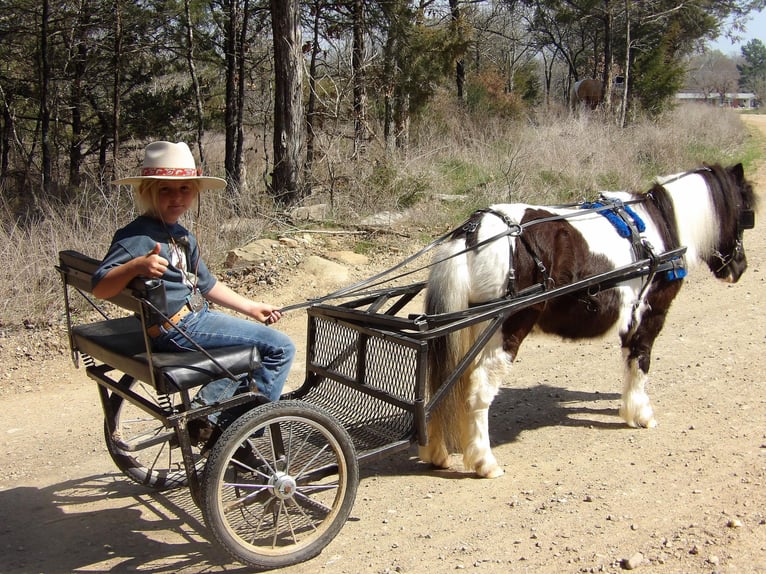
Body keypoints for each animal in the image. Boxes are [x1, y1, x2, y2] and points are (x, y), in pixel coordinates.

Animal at [420, 163, 757, 478]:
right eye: (745, 214)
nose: (740, 268)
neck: (663, 225)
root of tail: (473, 232)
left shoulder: (629, 320)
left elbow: (630, 364)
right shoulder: (651, 315)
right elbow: (641, 363)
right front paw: (641, 414)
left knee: (443, 384)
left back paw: (437, 452)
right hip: (504, 330)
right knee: (478, 391)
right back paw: (484, 461)